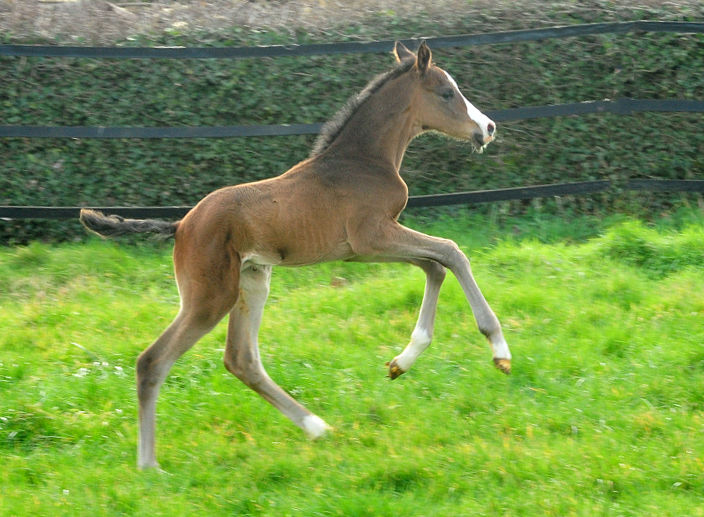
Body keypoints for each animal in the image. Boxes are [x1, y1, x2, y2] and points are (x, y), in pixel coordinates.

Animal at [81, 40, 512, 468]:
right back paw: (149, 466)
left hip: (252, 282)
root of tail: (181, 225)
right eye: (447, 92)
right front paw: (499, 350)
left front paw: (400, 363)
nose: (488, 128)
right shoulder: (373, 236)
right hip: (209, 298)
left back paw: (317, 427)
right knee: (152, 361)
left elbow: (434, 267)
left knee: (241, 359)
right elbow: (451, 253)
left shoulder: (363, 250)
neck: (364, 160)